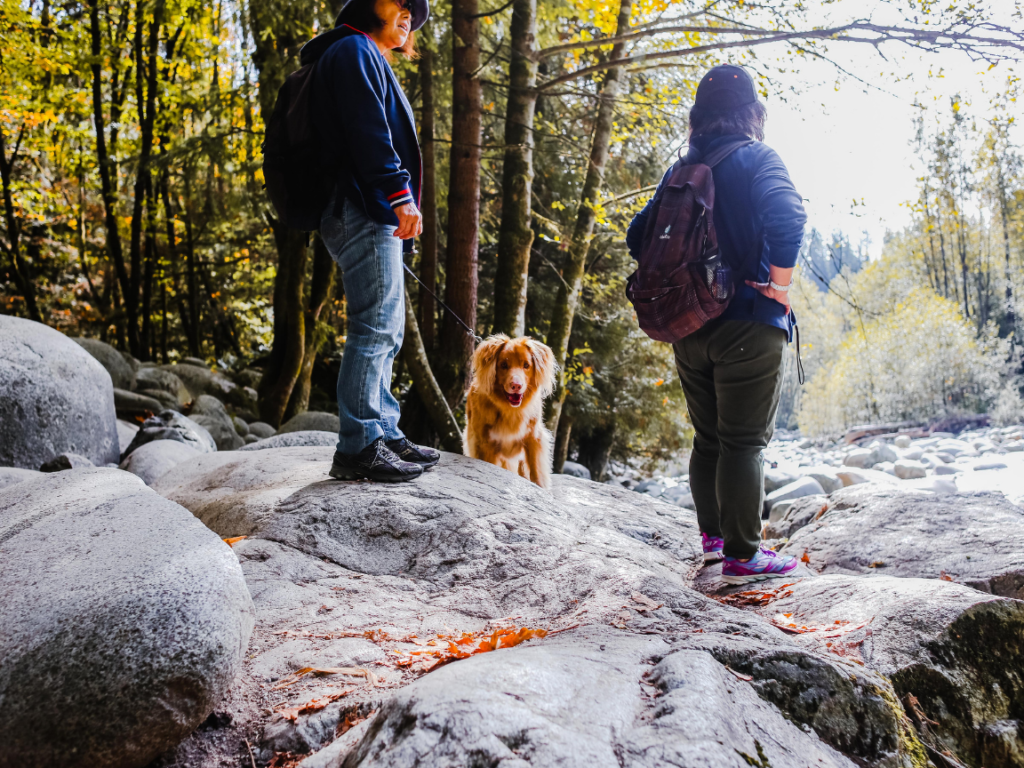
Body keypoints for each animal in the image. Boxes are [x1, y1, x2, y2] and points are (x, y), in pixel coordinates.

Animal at [466, 335, 557, 489]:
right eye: (503, 365)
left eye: (526, 365)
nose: (516, 385)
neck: (511, 410)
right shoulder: (486, 444)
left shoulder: (533, 437)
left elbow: (536, 469)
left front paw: (541, 487)